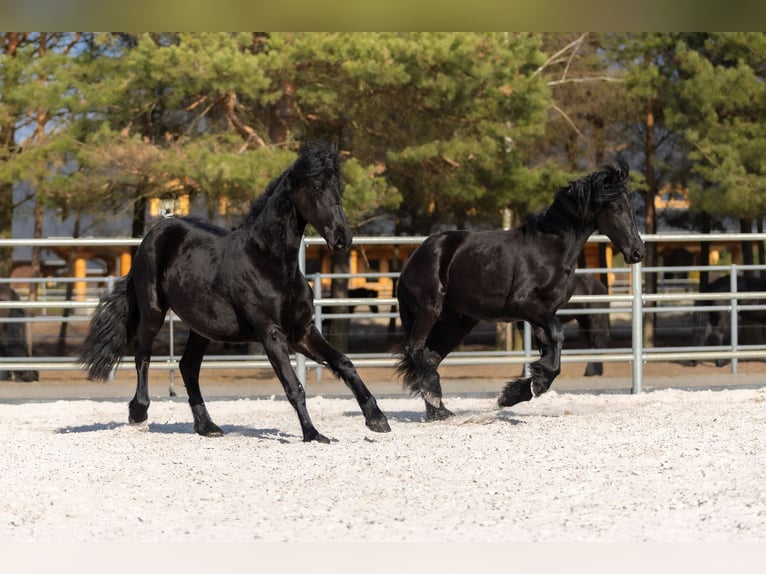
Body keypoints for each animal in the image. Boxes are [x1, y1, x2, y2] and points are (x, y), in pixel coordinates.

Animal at [80, 141, 390, 442]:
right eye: (315, 188)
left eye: (339, 188)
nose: (342, 238)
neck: (270, 263)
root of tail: (154, 234)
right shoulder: (271, 333)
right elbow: (294, 386)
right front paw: (313, 434)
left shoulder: (301, 332)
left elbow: (344, 363)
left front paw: (377, 419)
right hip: (153, 312)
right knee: (143, 355)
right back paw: (139, 413)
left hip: (202, 327)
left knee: (188, 367)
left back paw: (207, 427)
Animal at [396, 159, 644, 420]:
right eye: (616, 207)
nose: (637, 252)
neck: (551, 249)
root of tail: (413, 260)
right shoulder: (523, 303)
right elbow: (558, 335)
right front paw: (525, 388)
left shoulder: (544, 313)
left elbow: (550, 352)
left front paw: (517, 392)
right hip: (429, 310)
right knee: (414, 350)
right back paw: (434, 400)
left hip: (458, 322)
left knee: (430, 357)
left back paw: (439, 411)